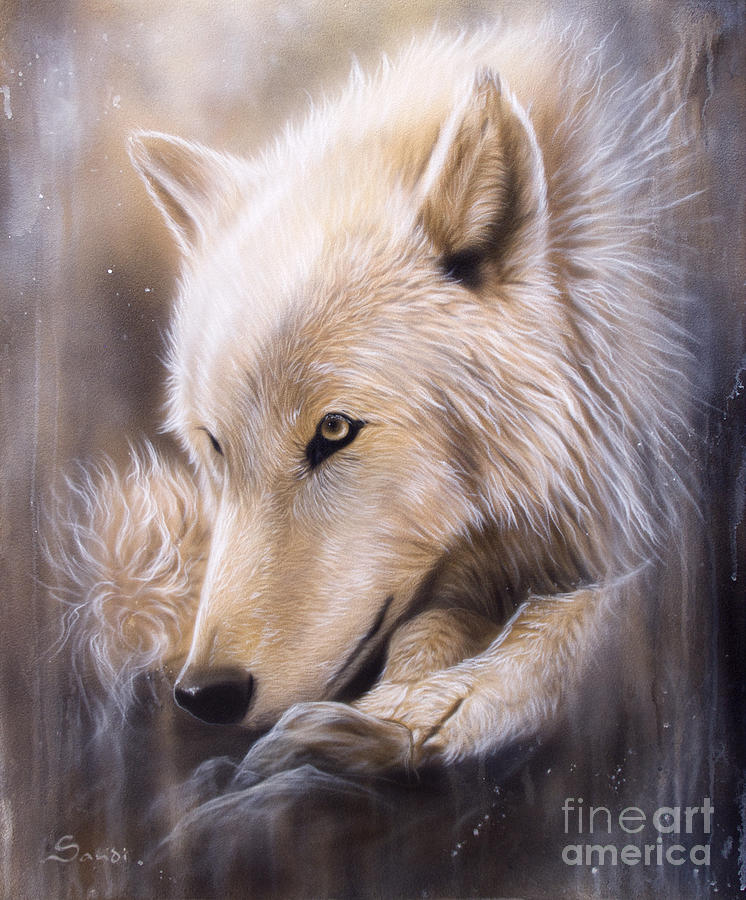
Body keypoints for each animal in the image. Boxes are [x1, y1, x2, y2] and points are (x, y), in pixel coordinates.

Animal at [51, 23, 695, 774]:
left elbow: (600, 609)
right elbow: (432, 625)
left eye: (334, 431)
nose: (204, 695)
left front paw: (421, 714)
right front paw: (403, 703)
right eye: (216, 447)